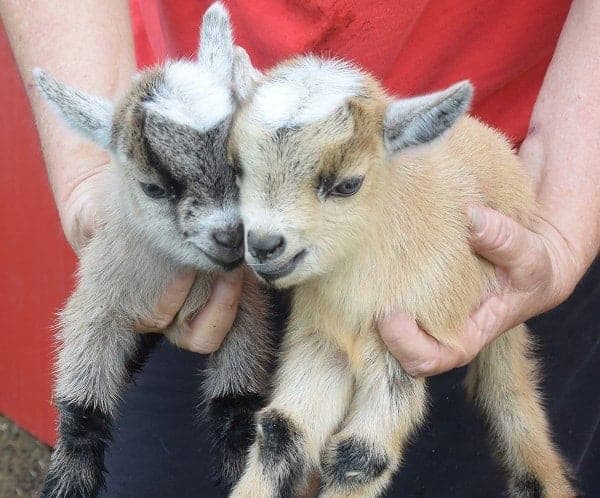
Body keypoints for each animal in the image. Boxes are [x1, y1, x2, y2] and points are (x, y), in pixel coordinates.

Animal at [34, 4, 274, 498]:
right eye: (153, 188)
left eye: (242, 164)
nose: (231, 235)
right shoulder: (102, 298)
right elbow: (83, 404)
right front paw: (70, 475)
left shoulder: (244, 304)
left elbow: (236, 399)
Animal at [227, 55, 576, 498]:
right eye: (237, 169)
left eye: (347, 184)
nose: (263, 244)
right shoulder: (322, 341)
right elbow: (282, 431)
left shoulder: (404, 348)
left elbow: (362, 456)